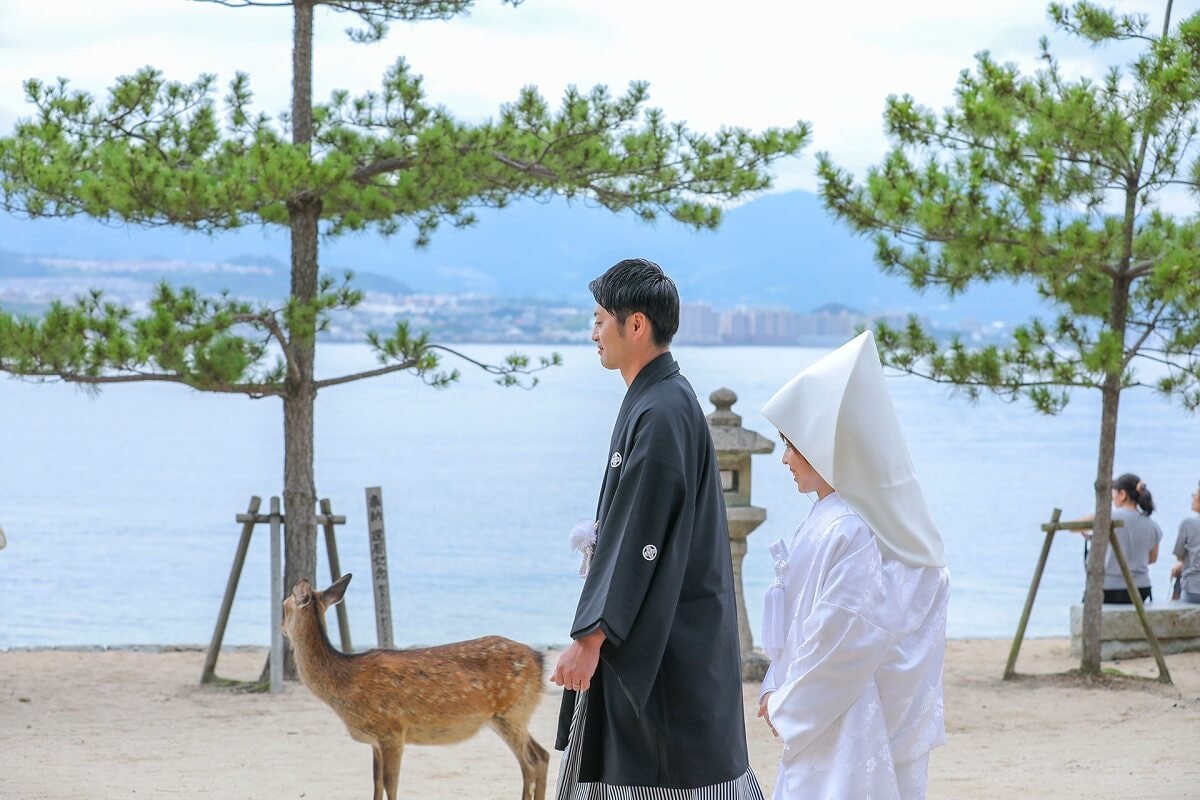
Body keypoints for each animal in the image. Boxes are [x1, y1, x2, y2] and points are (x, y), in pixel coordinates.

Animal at [280, 575, 549, 800]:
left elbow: (390, 784)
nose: (281, 627)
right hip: (508, 717)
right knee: (541, 756)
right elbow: (376, 783)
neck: (345, 685)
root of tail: (539, 660)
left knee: (531, 763)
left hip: (511, 712)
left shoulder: (392, 730)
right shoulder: (375, 741)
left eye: (283, 606)